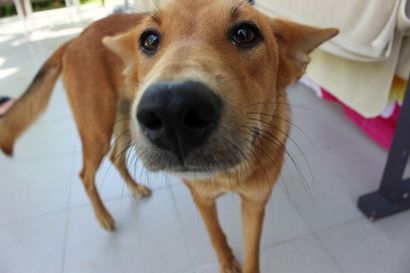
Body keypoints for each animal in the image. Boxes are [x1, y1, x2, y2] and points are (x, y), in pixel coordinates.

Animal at [0, 1, 338, 270]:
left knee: (116, 156)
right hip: (97, 129)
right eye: (149, 39)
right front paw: (228, 263)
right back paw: (104, 218)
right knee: (86, 174)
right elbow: (217, 236)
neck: (230, 175)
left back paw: (135, 189)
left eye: (245, 34)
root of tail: (75, 38)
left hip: (124, 124)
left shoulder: (255, 202)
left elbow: (252, 249)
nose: (172, 108)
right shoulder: (202, 200)